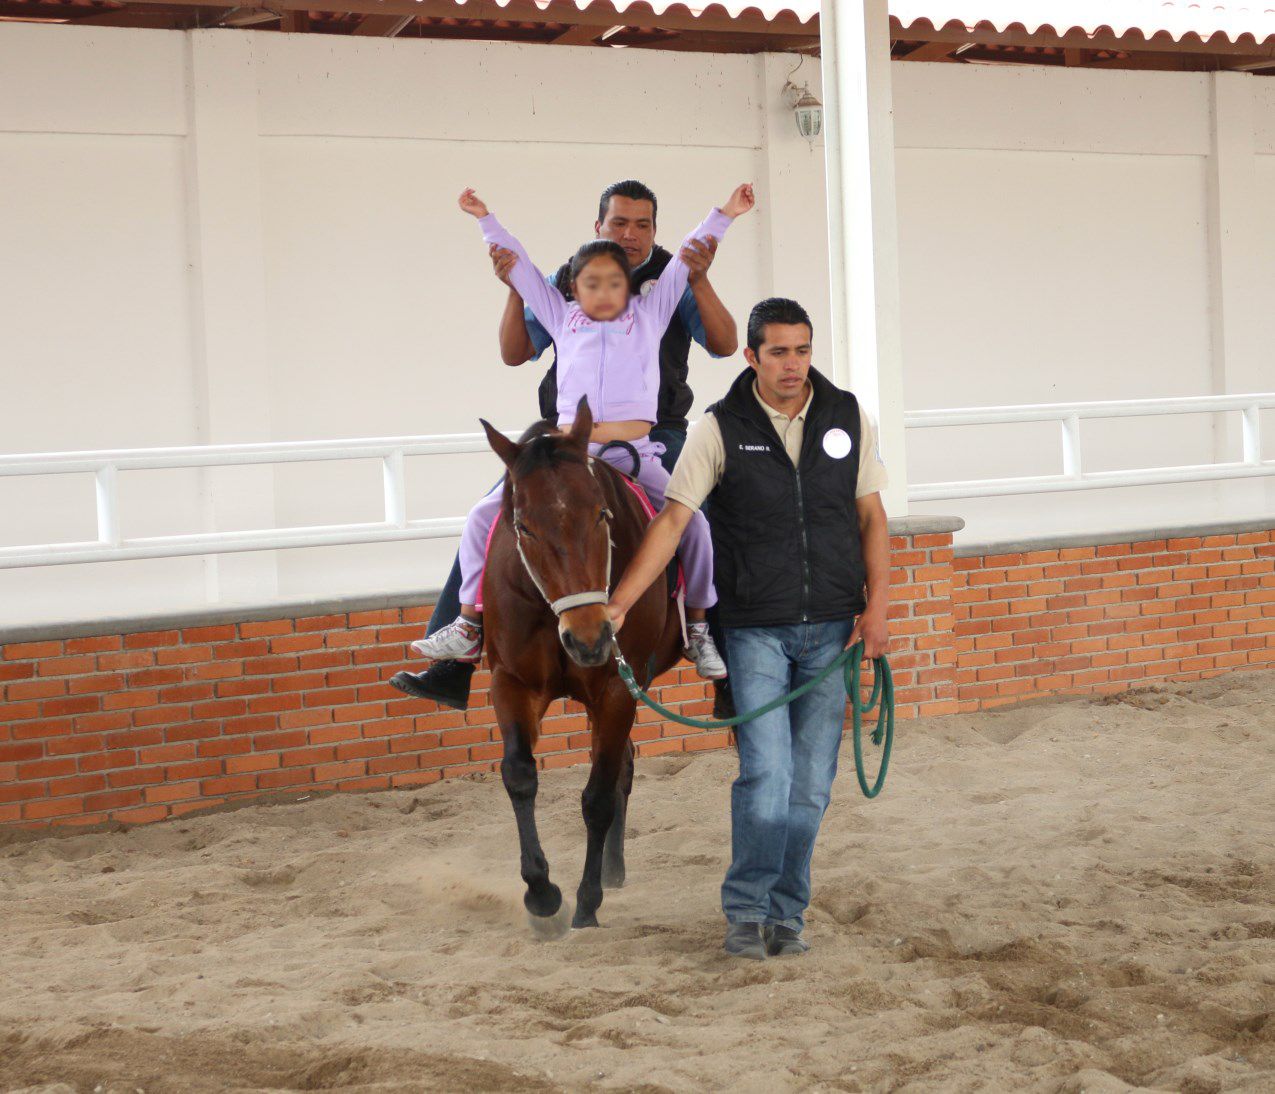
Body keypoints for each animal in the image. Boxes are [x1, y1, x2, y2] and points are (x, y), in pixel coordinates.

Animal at [478, 398, 683, 937]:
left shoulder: (615, 690)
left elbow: (597, 797)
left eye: (602, 514)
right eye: (523, 526)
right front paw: (541, 893)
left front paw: (585, 904)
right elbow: (519, 774)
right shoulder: (511, 682)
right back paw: (612, 869)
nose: (590, 638)